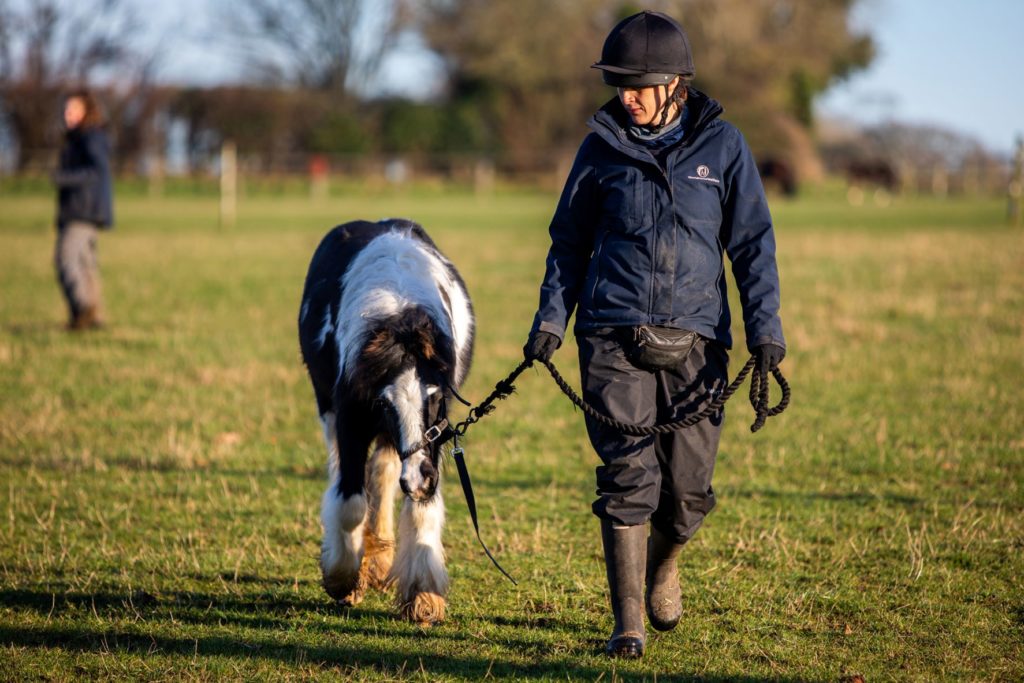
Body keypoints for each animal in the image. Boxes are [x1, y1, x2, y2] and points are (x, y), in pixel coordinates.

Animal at [296, 218, 471, 626]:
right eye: (382, 402)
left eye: (435, 395)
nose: (419, 478)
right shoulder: (350, 417)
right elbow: (350, 503)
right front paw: (344, 581)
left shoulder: (435, 438)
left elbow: (422, 507)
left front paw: (423, 596)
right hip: (330, 414)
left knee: (385, 472)